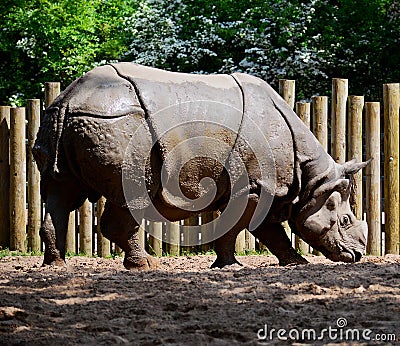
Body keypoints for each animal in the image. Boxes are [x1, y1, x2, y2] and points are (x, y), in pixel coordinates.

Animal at [33, 62, 368, 270]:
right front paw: (229, 265)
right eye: (346, 220)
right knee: (131, 195)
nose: (358, 255)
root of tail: (69, 99)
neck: (312, 179)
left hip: (61, 120)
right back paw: (145, 266)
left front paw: (297, 263)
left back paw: (56, 265)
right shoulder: (254, 187)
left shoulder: (264, 188)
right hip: (118, 122)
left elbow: (269, 230)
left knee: (60, 192)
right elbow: (238, 227)